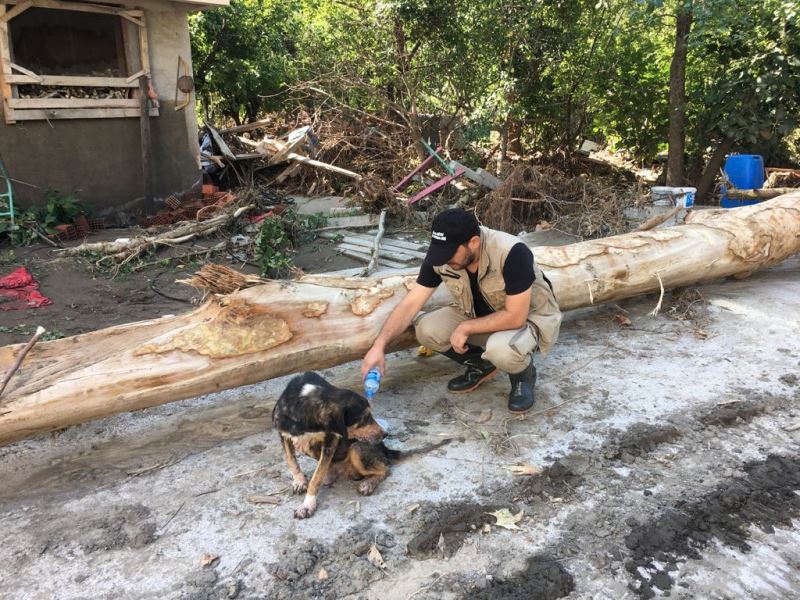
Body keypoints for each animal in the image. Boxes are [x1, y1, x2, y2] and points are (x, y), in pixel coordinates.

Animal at [272, 370, 390, 516]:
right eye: (365, 418)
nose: (385, 434)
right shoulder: (283, 433)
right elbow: (291, 461)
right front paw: (299, 481)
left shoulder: (331, 439)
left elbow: (316, 477)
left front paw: (307, 504)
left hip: (357, 448)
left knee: (386, 468)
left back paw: (368, 484)